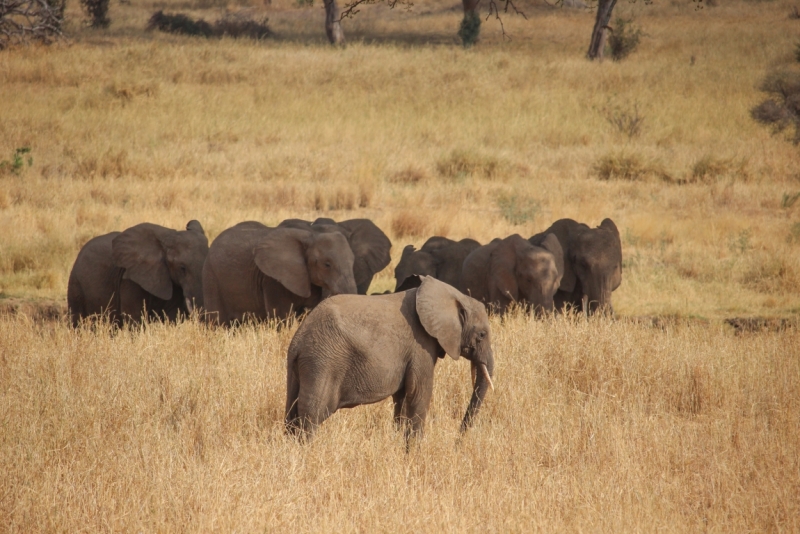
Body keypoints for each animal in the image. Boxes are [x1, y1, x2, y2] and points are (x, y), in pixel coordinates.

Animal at [282, 276, 494, 444]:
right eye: (482, 335)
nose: (458, 441)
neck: (452, 295)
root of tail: (298, 340)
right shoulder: (420, 346)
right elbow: (419, 393)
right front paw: (414, 453)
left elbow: (402, 399)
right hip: (323, 363)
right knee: (312, 413)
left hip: (301, 367)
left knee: (292, 411)